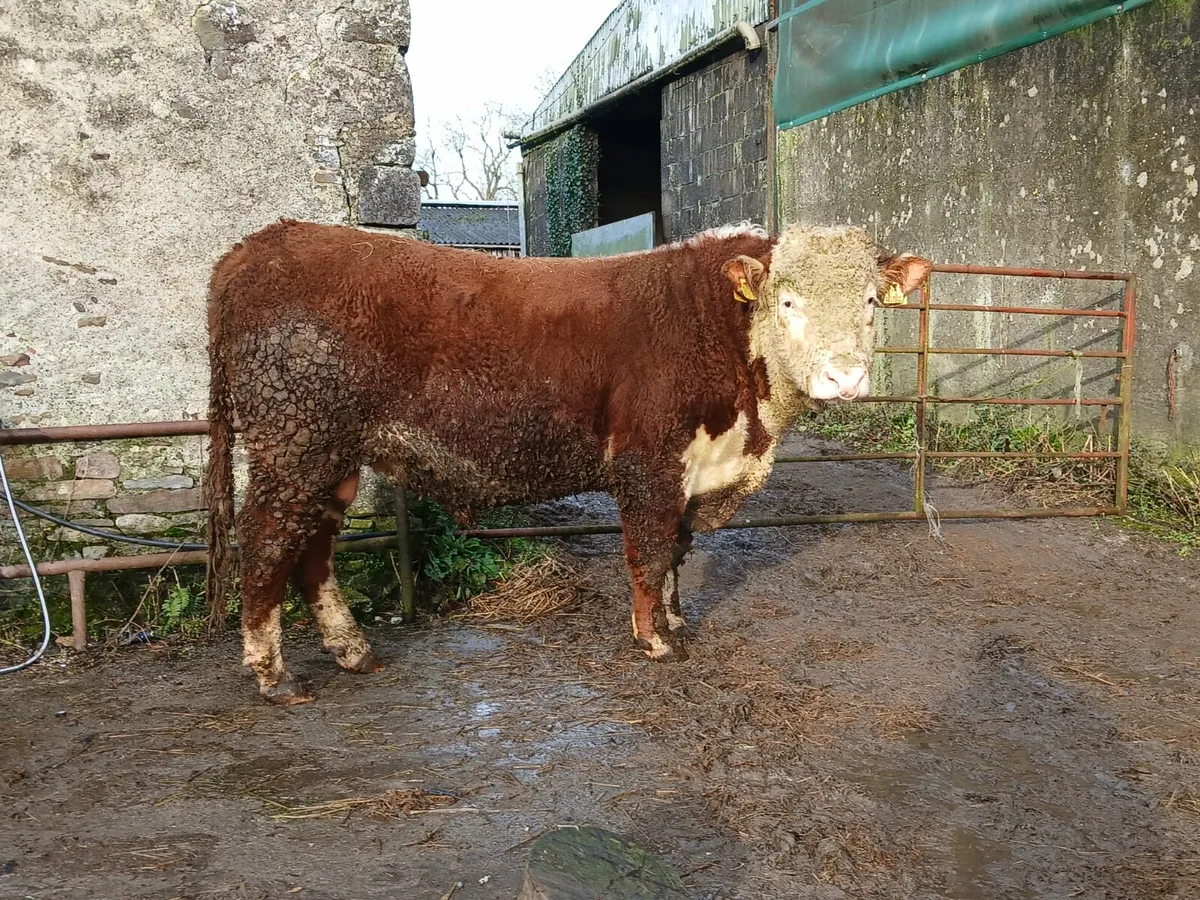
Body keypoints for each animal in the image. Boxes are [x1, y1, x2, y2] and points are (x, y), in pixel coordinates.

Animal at [204, 219, 931, 704]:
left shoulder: (693, 471)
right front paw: (654, 640)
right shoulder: (647, 462)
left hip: (329, 458)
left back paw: (352, 652)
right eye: (788, 300)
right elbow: (648, 553)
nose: (845, 377)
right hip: (294, 444)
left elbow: (677, 550)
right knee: (266, 541)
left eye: (870, 301)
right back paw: (274, 675)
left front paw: (673, 620)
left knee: (314, 550)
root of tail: (258, 244)